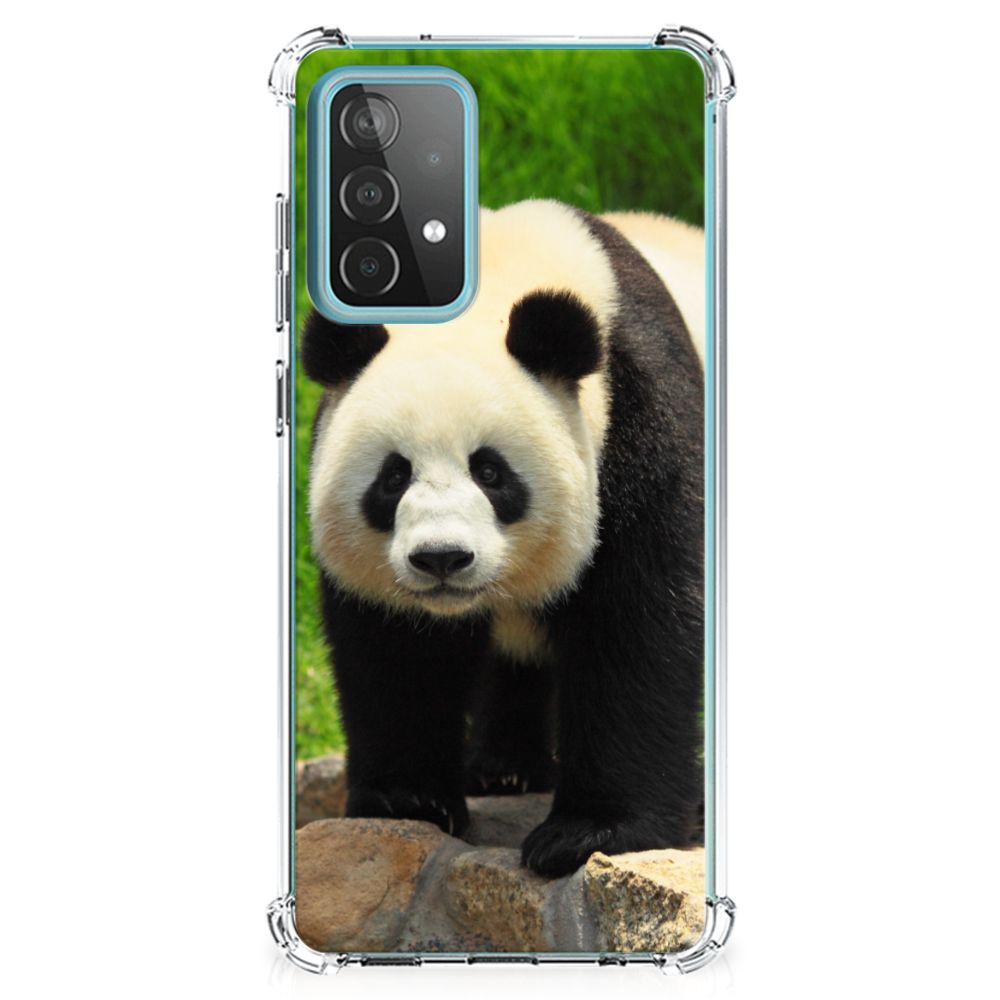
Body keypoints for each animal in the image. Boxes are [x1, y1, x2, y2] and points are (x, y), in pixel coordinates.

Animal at [302, 199, 705, 877]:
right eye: (393, 476)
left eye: (490, 472)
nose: (441, 558)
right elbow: (395, 650)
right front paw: (408, 799)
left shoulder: (642, 421)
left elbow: (639, 624)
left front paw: (589, 833)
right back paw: (504, 769)